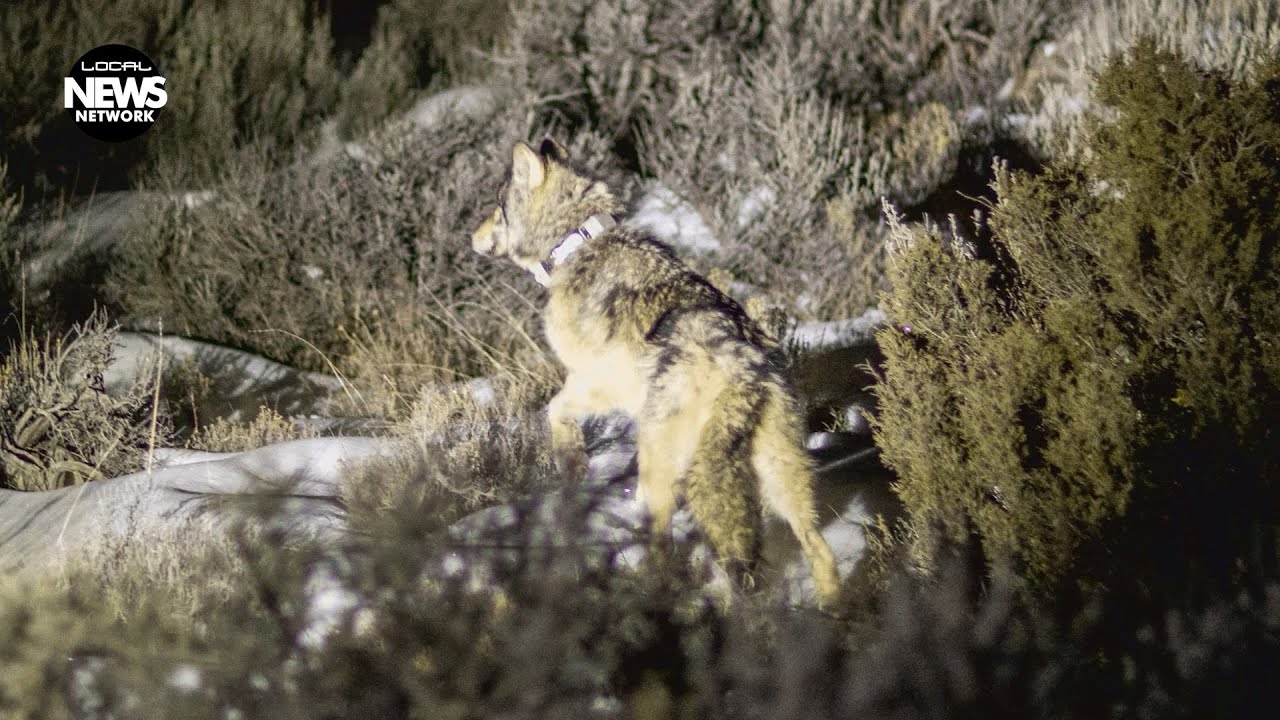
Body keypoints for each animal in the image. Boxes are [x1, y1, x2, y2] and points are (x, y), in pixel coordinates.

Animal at [471, 139, 840, 607]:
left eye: (498, 210)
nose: (470, 236)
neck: (576, 241)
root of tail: (739, 368)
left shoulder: (597, 382)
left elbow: (554, 410)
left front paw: (571, 460)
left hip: (666, 458)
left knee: (665, 546)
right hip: (781, 478)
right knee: (818, 547)